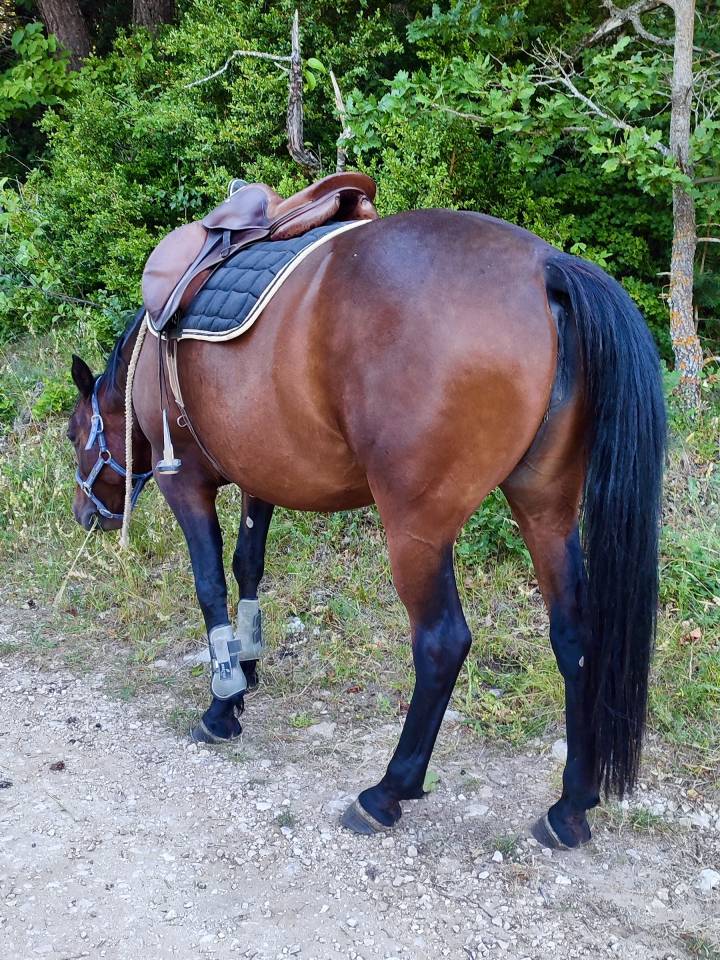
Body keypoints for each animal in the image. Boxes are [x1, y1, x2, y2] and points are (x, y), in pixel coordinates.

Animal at [66, 209, 665, 849]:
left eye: (76, 433)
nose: (85, 515)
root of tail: (546, 266)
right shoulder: (263, 474)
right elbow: (248, 566)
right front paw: (248, 670)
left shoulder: (184, 483)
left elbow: (210, 587)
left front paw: (222, 705)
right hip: (546, 510)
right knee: (574, 637)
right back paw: (570, 805)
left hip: (416, 531)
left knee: (442, 643)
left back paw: (387, 792)